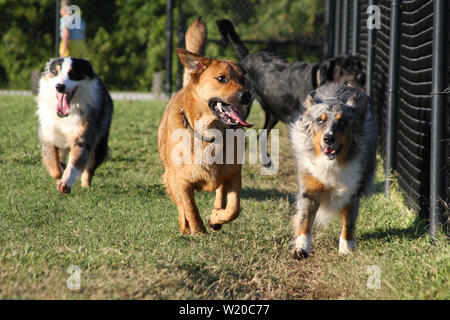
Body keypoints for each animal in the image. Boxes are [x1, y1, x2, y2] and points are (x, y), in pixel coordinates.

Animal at [36, 56, 112, 194]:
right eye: (55, 72)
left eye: (73, 73)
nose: (59, 86)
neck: (65, 115)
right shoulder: (48, 134)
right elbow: (53, 164)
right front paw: (59, 173)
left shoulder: (83, 135)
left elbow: (75, 162)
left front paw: (65, 183)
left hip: (100, 142)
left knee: (89, 167)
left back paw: (86, 185)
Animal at [157, 18, 253, 235]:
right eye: (222, 78)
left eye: (243, 79)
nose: (247, 95)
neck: (210, 133)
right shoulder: (181, 181)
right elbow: (190, 207)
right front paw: (198, 231)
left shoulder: (233, 174)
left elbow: (234, 208)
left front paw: (216, 218)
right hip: (170, 178)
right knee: (181, 205)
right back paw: (186, 226)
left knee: (220, 195)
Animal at [288, 81, 376, 258]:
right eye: (319, 121)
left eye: (342, 122)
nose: (328, 138)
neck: (332, 163)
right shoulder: (310, 188)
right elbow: (305, 220)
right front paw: (301, 249)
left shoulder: (352, 192)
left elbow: (349, 222)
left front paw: (346, 248)